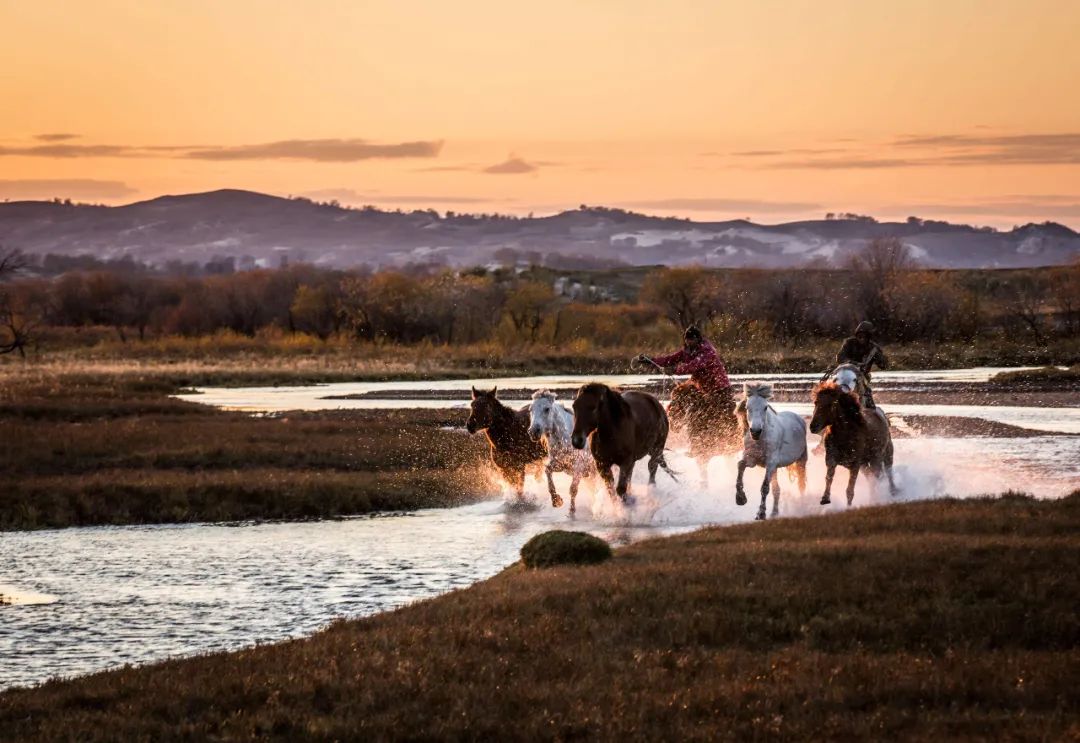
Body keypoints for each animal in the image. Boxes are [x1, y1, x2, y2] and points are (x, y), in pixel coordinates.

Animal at [527, 388, 596, 516]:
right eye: (530, 409)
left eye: (547, 409)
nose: (533, 431)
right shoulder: (560, 465)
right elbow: (548, 472)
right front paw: (556, 501)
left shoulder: (578, 468)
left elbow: (573, 489)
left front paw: (571, 511)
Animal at [730, 386, 807, 520]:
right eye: (747, 407)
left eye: (765, 407)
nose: (755, 431)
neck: (761, 439)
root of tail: (799, 419)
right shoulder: (752, 460)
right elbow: (740, 464)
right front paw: (740, 498)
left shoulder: (770, 463)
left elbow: (765, 487)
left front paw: (761, 513)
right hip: (775, 469)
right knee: (777, 490)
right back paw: (774, 513)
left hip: (801, 460)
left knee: (801, 485)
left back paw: (801, 508)